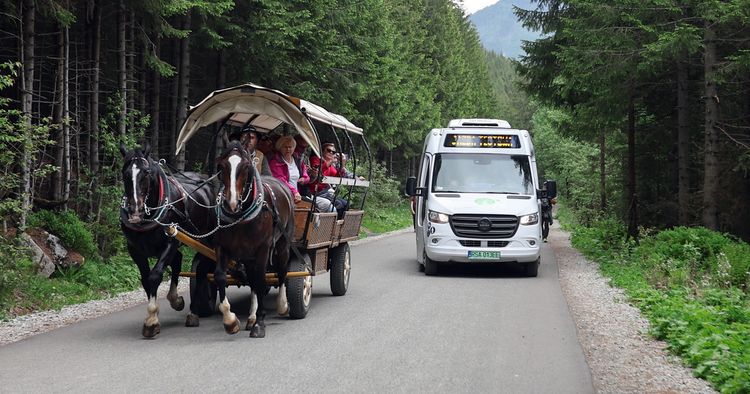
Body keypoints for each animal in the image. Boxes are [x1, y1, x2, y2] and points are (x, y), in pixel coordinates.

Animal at [119, 143, 216, 338]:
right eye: (125, 173)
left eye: (146, 172)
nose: (135, 211)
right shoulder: (135, 250)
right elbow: (145, 279)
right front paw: (155, 315)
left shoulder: (170, 241)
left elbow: (155, 275)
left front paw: (151, 320)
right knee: (179, 260)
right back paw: (176, 300)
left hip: (205, 240)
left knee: (201, 269)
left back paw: (193, 312)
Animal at [214, 140, 296, 338]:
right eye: (221, 166)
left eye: (246, 166)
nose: (231, 203)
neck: (240, 218)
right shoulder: (223, 247)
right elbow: (220, 276)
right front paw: (230, 321)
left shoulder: (263, 249)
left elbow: (260, 279)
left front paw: (260, 322)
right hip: (247, 255)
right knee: (251, 279)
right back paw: (250, 317)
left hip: (283, 244)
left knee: (282, 271)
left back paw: (282, 305)